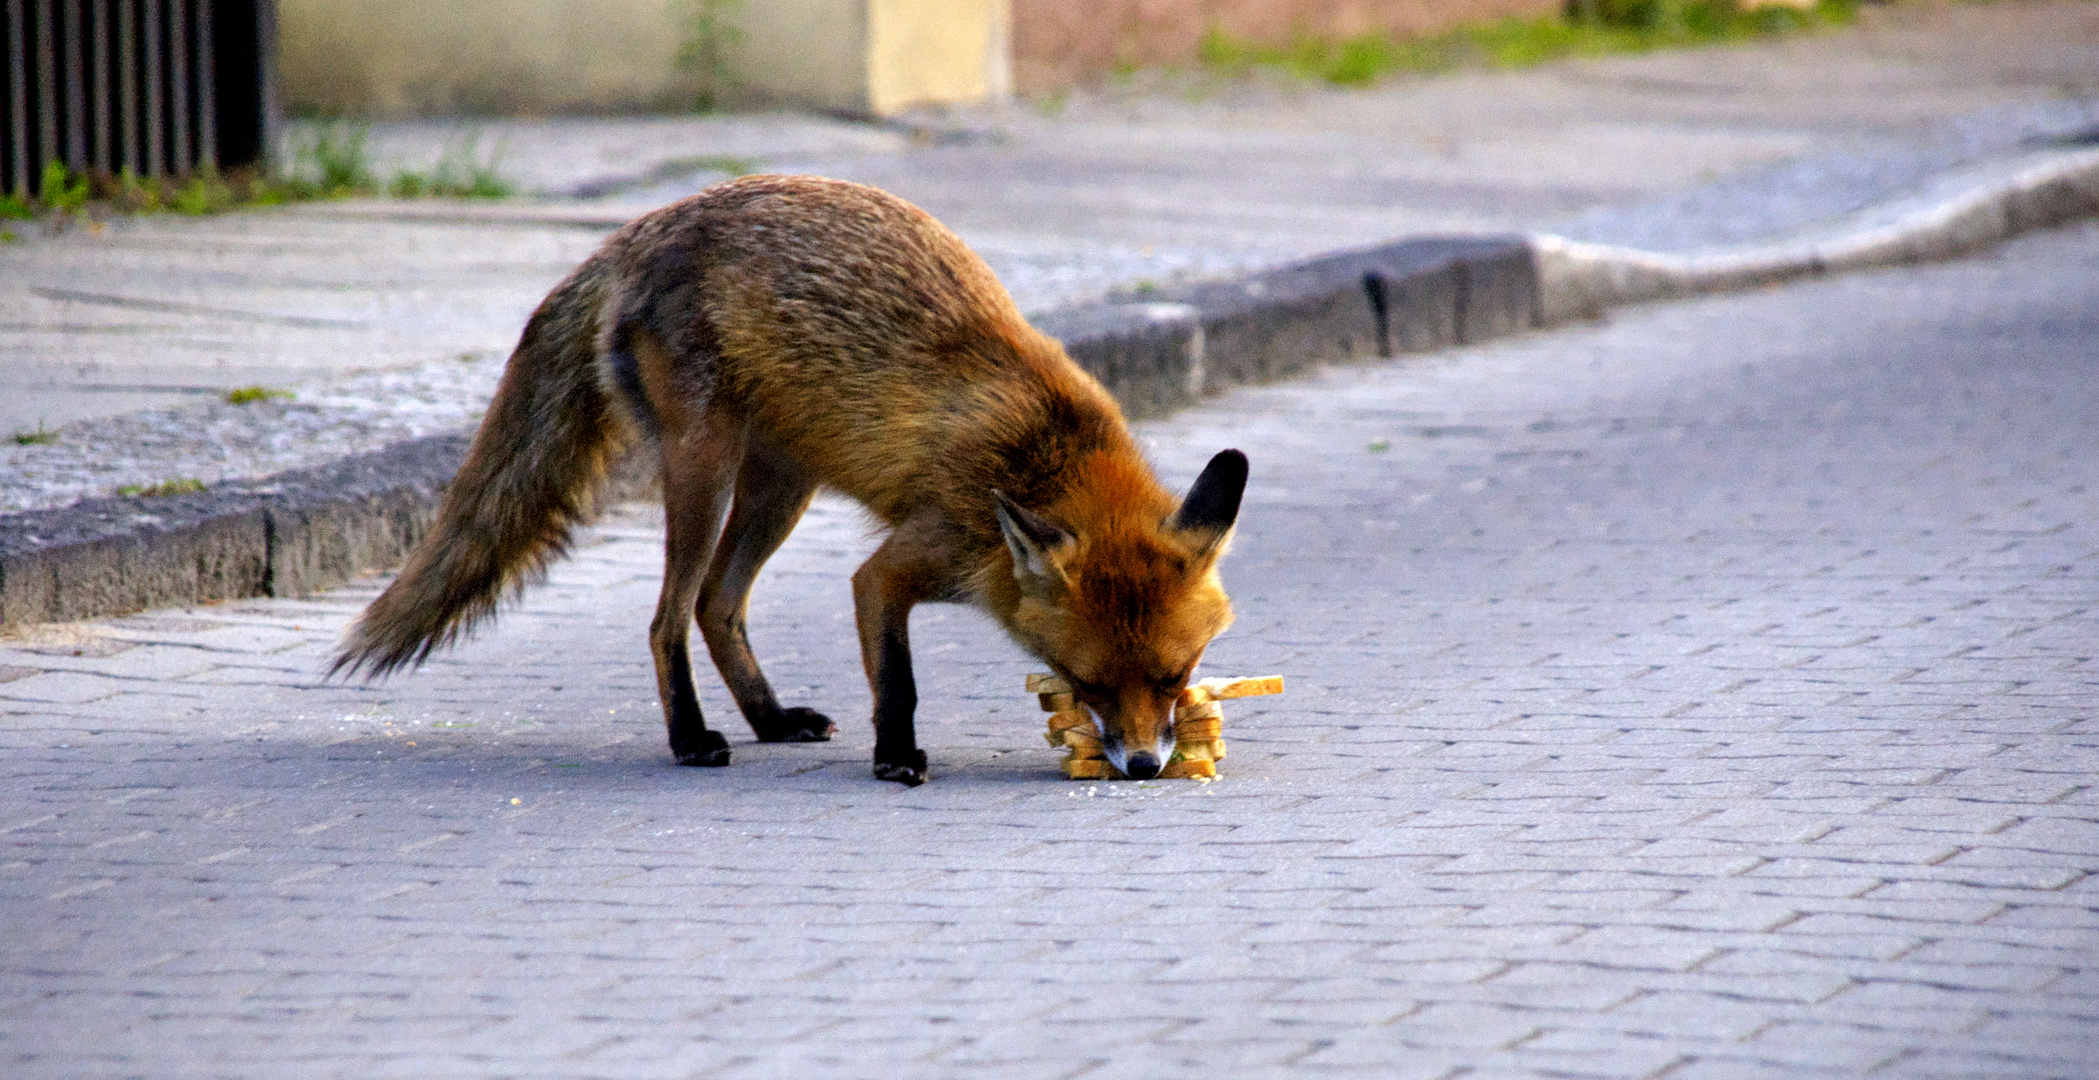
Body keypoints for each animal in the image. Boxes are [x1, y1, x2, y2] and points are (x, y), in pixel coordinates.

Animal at [331, 175, 1242, 784]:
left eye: (1174, 678)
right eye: (1088, 684)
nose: (1140, 766)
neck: (1043, 454)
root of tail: (639, 230)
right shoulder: (899, 565)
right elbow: (899, 680)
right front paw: (896, 758)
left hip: (780, 487)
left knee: (716, 604)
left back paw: (768, 720)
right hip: (703, 466)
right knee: (668, 618)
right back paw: (693, 740)